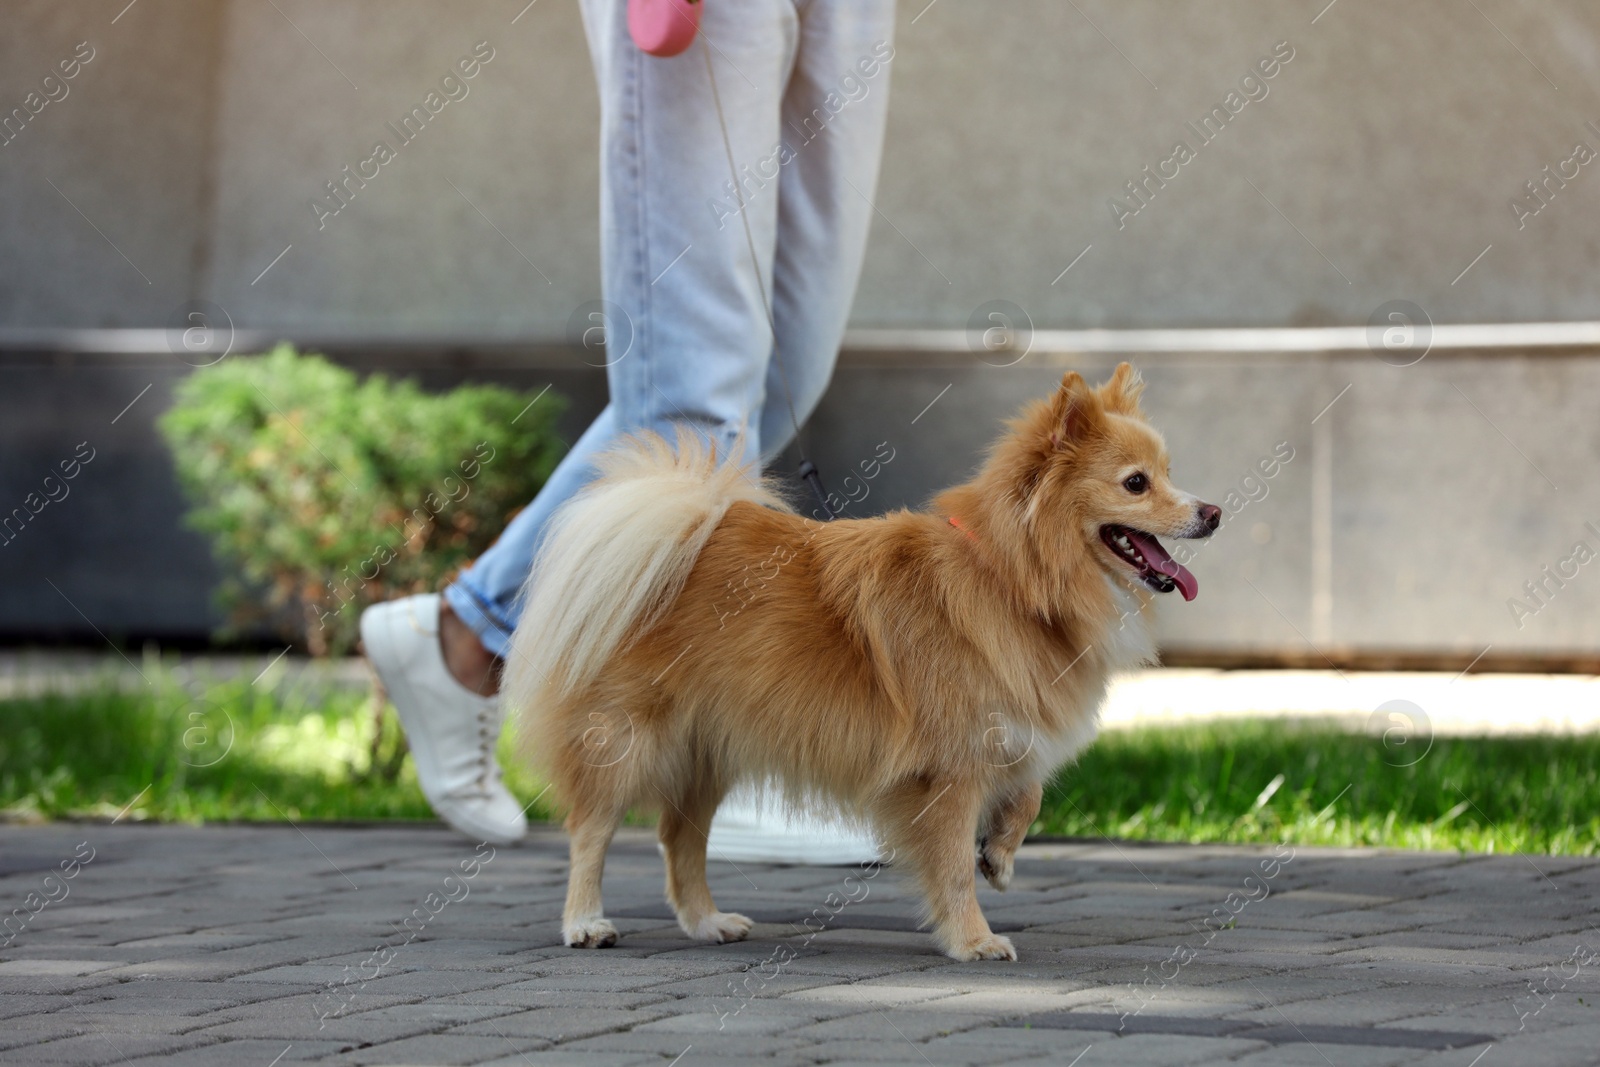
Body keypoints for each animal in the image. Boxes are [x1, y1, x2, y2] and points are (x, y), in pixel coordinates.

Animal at [505, 363, 1216, 966]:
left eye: (1170, 472)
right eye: (1136, 482)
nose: (1211, 512)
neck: (1010, 577)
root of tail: (677, 525)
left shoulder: (1004, 731)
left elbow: (1030, 794)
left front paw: (1001, 855)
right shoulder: (951, 768)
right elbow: (952, 865)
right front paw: (973, 939)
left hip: (707, 751)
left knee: (679, 838)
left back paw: (706, 922)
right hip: (626, 739)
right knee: (592, 831)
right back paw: (585, 922)